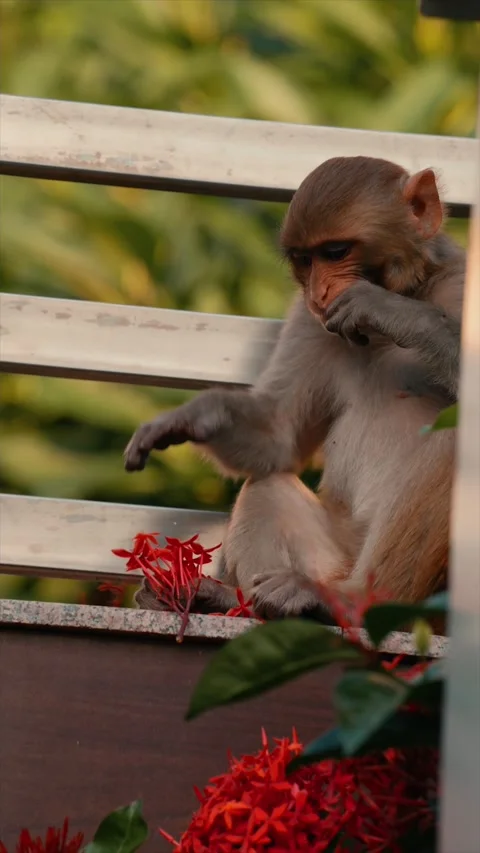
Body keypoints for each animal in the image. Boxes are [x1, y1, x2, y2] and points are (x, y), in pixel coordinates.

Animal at [125, 156, 464, 620]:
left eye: (336, 252)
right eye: (305, 260)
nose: (320, 291)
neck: (417, 287)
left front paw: (392, 312)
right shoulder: (310, 319)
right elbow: (280, 439)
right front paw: (194, 416)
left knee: (452, 440)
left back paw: (357, 600)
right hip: (337, 553)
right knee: (266, 487)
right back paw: (238, 602)